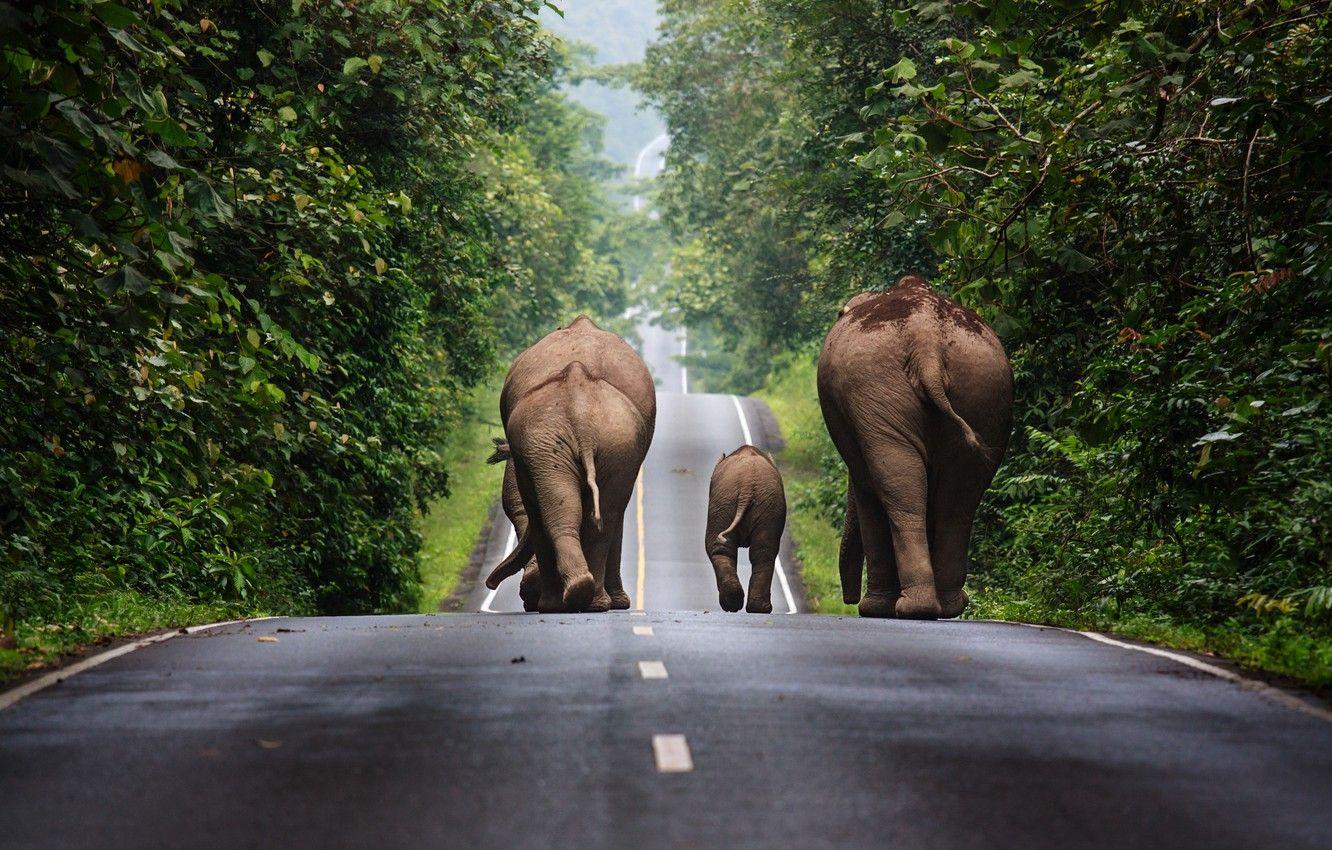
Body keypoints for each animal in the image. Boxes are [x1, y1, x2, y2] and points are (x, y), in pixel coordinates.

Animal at [485, 316, 655, 612]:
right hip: (584, 441)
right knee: (599, 512)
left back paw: (566, 601)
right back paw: (584, 598)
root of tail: (579, 406)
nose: (490, 584)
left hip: (581, 440)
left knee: (582, 511)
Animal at [705, 445, 787, 614]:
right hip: (763, 504)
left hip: (727, 502)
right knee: (763, 551)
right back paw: (754, 607)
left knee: (718, 547)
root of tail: (747, 487)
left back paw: (736, 605)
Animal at [817, 274, 1012, 620]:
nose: (848, 600)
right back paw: (945, 607)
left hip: (881, 386)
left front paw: (872, 608)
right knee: (957, 499)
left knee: (901, 491)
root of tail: (927, 345)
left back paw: (909, 607)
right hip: (978, 390)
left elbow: (865, 487)